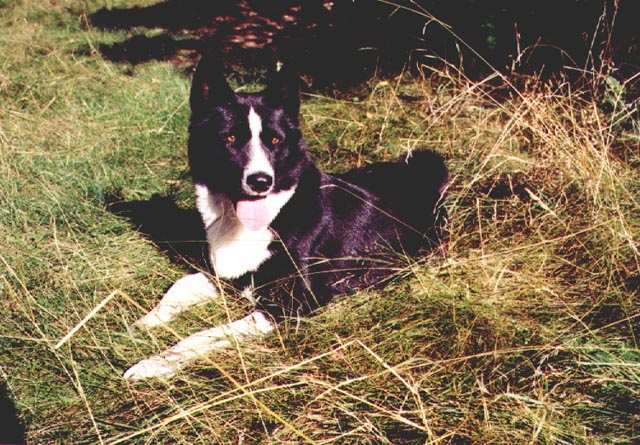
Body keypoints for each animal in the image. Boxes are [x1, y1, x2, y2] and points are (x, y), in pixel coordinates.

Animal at [123, 56, 448, 381]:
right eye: (230, 138)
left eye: (275, 140)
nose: (260, 181)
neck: (270, 215)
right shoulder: (226, 276)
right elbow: (179, 286)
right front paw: (143, 323)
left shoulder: (291, 304)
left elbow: (205, 334)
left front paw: (154, 363)